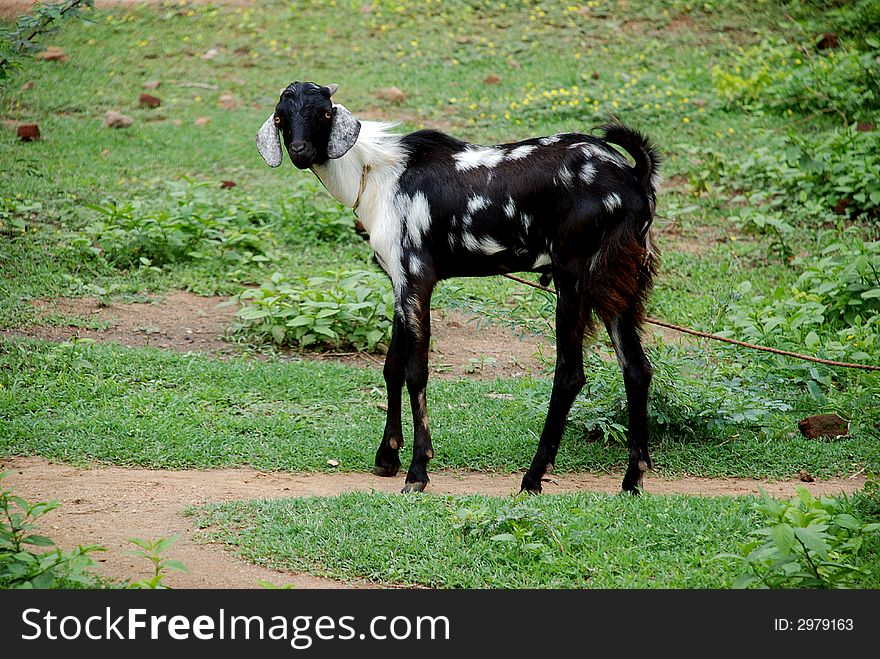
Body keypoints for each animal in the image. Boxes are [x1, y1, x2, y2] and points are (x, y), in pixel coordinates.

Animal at [254, 81, 660, 496]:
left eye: (324, 113)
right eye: (281, 117)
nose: (300, 150)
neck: (382, 175)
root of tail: (633, 176)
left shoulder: (417, 279)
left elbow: (416, 371)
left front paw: (417, 472)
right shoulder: (399, 283)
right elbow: (392, 366)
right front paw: (388, 456)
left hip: (574, 277)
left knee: (570, 373)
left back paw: (533, 478)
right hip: (618, 282)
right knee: (636, 368)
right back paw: (632, 480)